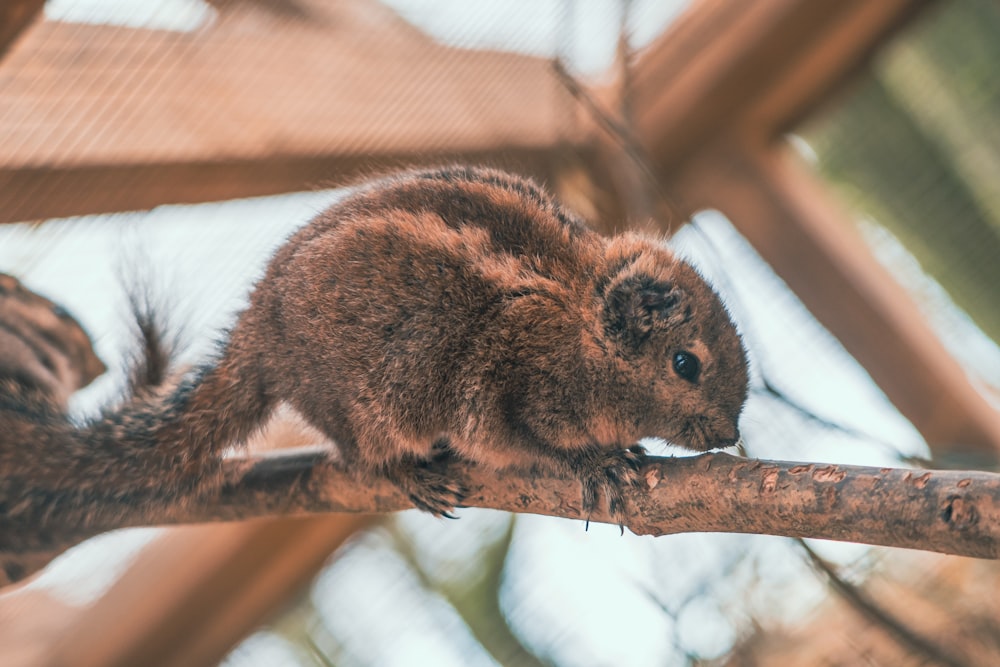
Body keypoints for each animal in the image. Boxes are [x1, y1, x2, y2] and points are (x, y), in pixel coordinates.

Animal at [1, 168, 752, 584]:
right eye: (686, 363)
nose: (729, 434)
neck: (578, 324)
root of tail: (257, 336)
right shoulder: (508, 383)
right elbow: (532, 443)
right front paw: (599, 461)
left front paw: (623, 448)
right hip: (369, 404)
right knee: (360, 453)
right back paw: (409, 472)